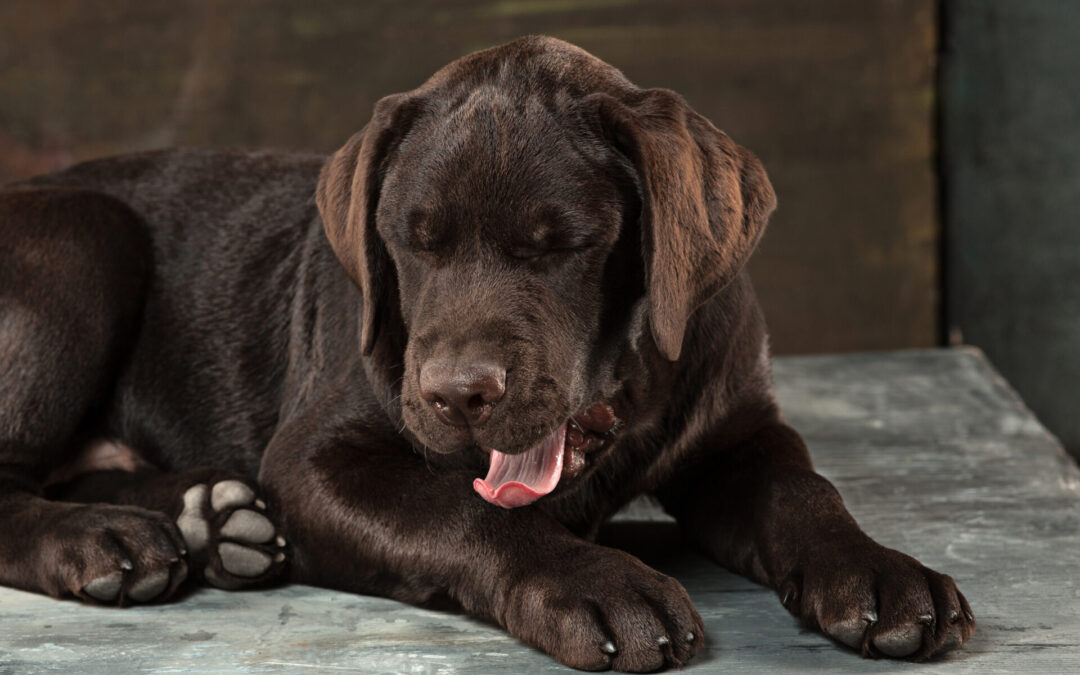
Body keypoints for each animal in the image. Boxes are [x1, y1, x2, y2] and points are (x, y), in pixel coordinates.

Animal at [0, 35, 976, 669]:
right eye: (410, 240)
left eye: (563, 245)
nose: (454, 393)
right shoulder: (317, 458)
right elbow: (462, 510)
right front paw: (593, 579)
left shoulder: (739, 431)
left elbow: (805, 490)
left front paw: (884, 574)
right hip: (86, 237)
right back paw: (105, 538)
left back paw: (211, 516)